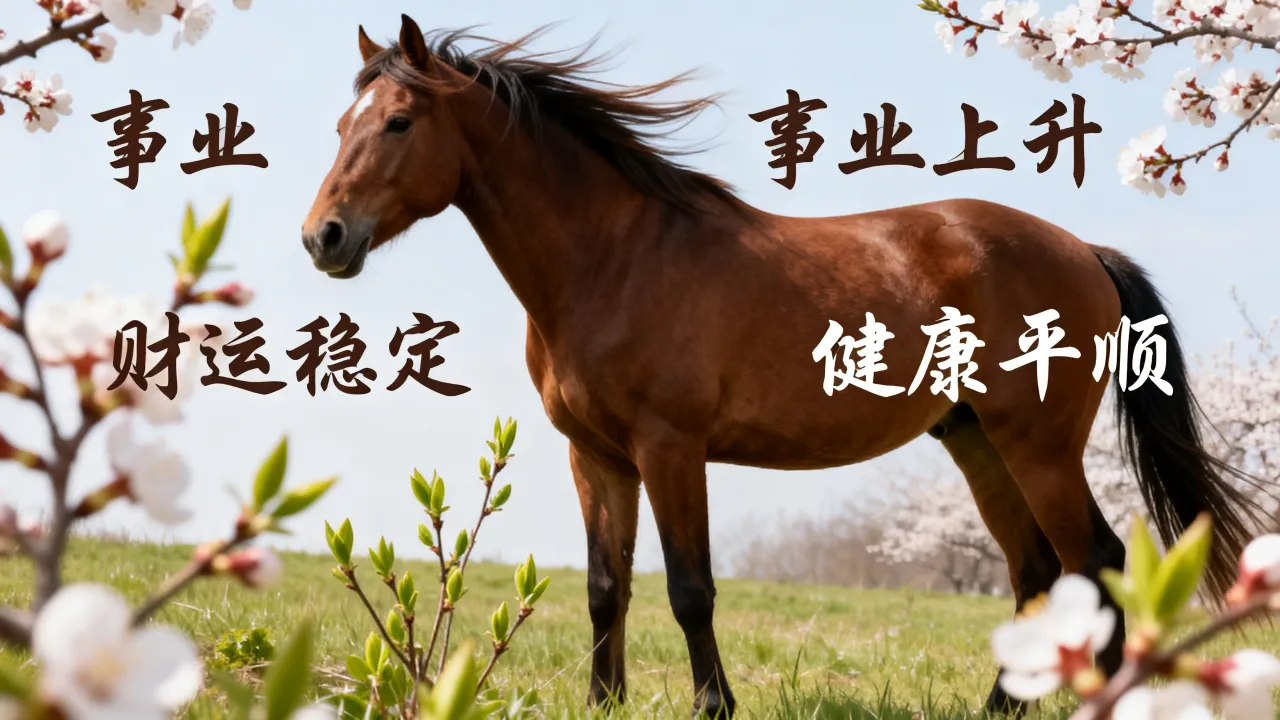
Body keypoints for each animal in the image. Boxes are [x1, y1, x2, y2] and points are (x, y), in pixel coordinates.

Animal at [300, 15, 1264, 717]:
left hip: (1039, 447)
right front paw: (605, 701)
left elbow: (689, 588)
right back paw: (1000, 706)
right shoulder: (598, 457)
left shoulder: (670, 448)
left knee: (1094, 559)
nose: (324, 238)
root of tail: (1086, 251)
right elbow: (607, 587)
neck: (613, 258)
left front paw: (714, 705)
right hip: (977, 443)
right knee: (1035, 572)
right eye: (341, 124)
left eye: (398, 122)